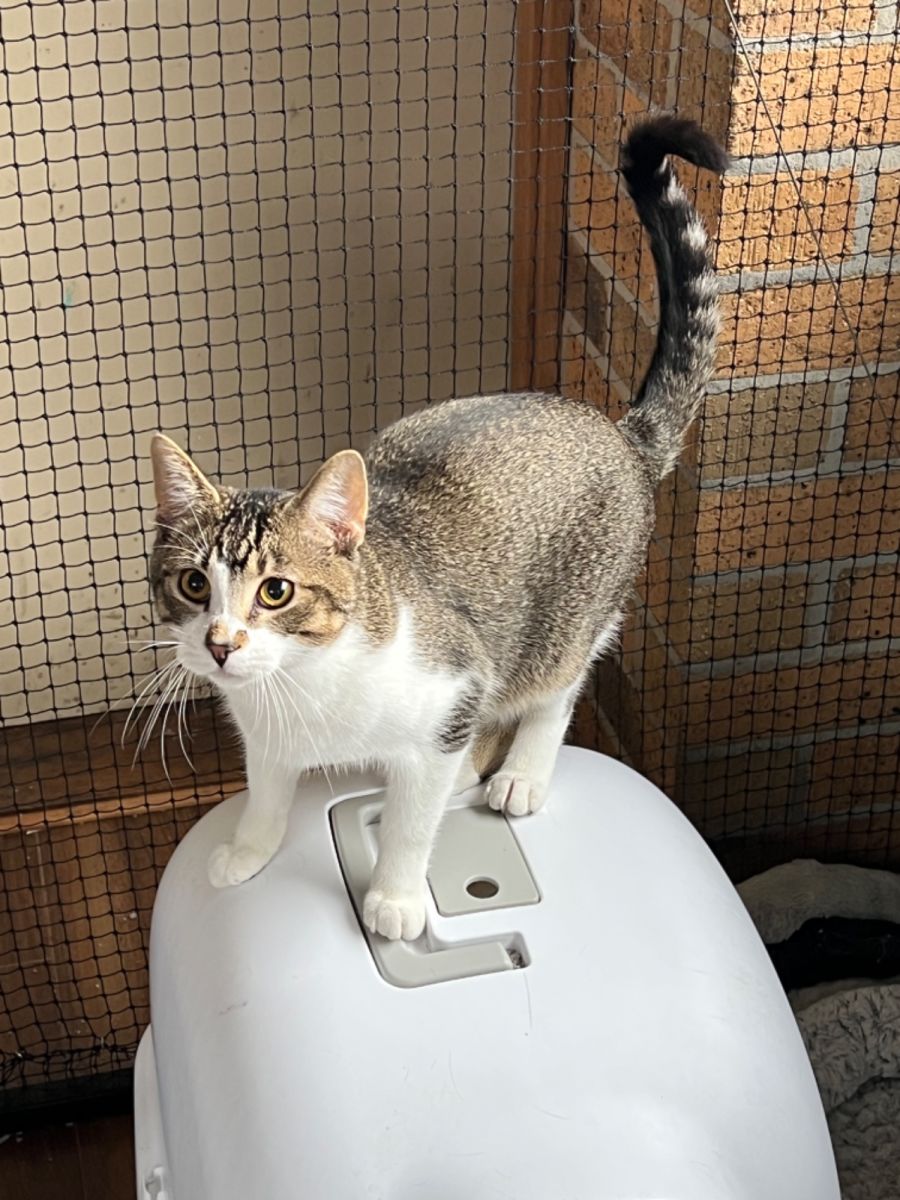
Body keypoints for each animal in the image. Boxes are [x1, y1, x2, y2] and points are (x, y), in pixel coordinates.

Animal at [147, 115, 727, 941]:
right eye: (194, 584)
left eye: (276, 591)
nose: (222, 644)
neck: (302, 686)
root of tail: (621, 432)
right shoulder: (266, 735)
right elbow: (266, 789)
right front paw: (248, 849)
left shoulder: (453, 690)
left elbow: (413, 816)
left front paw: (393, 896)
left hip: (567, 616)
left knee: (557, 686)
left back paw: (518, 772)